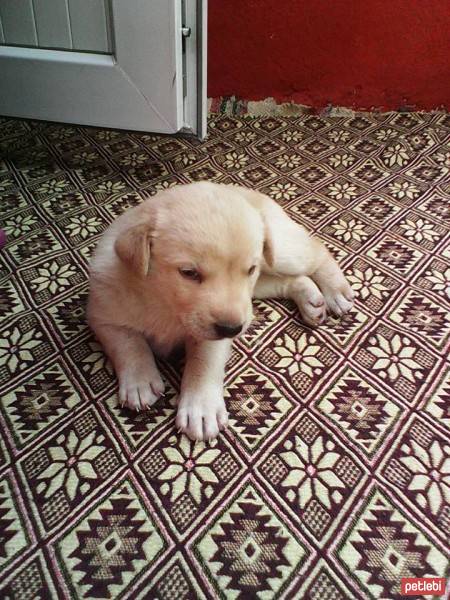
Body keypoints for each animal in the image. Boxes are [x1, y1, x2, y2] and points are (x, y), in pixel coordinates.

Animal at [88, 180, 354, 438]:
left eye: (249, 269)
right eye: (189, 273)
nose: (232, 329)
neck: (164, 302)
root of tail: (241, 189)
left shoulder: (214, 332)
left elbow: (203, 361)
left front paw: (200, 409)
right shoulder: (103, 312)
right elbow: (128, 344)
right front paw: (139, 382)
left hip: (279, 254)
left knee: (317, 251)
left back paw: (336, 291)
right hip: (257, 285)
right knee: (290, 280)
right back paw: (311, 299)